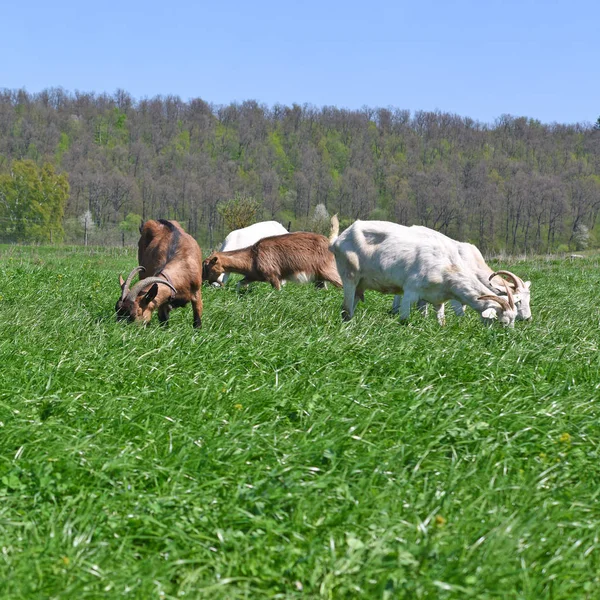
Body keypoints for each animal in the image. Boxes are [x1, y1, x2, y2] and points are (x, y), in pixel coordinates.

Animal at [328, 220, 516, 326]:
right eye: (503, 322)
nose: (506, 340)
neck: (448, 267)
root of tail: (338, 240)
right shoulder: (410, 291)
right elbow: (404, 319)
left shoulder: (437, 298)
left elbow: (441, 322)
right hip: (350, 276)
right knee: (345, 310)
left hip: (360, 284)